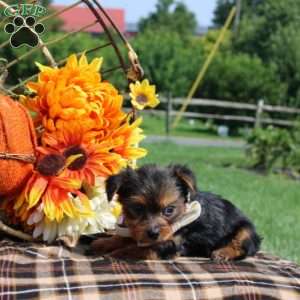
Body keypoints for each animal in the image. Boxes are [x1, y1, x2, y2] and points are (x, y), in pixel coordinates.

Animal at [91, 164, 260, 260]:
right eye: (138, 209)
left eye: (169, 210)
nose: (153, 233)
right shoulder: (139, 230)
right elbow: (127, 238)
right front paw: (104, 243)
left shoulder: (172, 243)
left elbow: (140, 248)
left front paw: (118, 253)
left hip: (246, 229)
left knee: (243, 246)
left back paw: (223, 252)